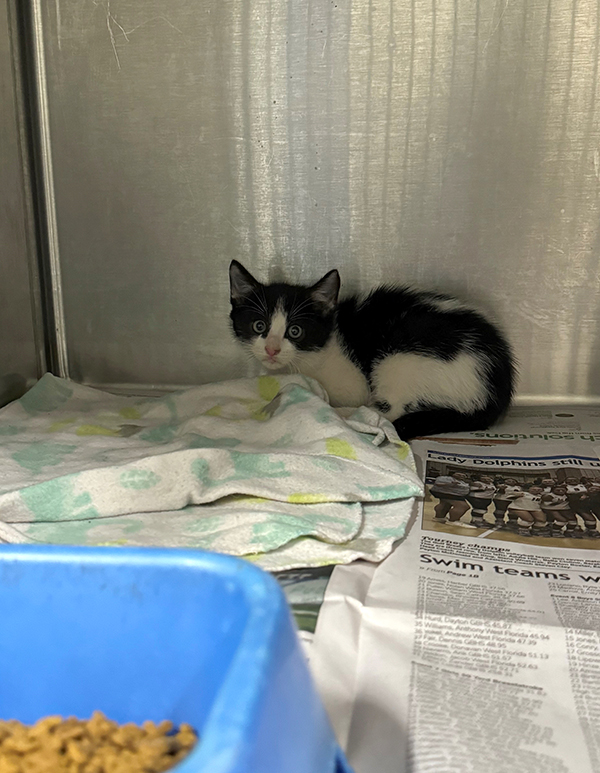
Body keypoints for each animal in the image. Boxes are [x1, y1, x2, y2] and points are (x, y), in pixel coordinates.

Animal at [230, 260, 516, 438]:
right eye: (258, 325)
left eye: (295, 331)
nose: (272, 350)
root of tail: (498, 388)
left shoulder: (353, 384)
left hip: (399, 358)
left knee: (391, 410)